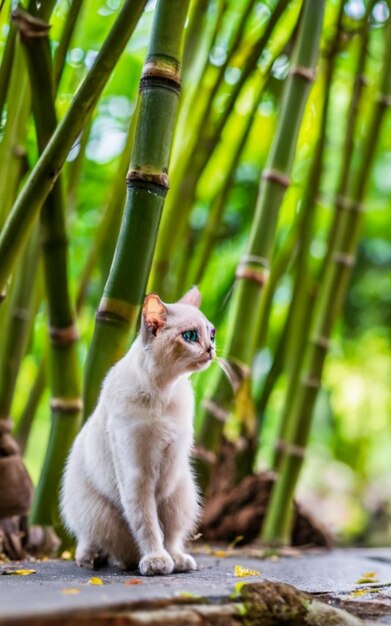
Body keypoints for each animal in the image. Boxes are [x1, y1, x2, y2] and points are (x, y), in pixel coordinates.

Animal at [59, 286, 216, 572]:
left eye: (212, 333)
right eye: (190, 336)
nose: (211, 348)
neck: (164, 393)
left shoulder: (172, 470)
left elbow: (168, 528)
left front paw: (171, 559)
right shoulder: (137, 475)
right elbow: (148, 524)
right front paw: (156, 560)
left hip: (185, 491)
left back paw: (176, 560)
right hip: (95, 513)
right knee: (92, 541)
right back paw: (101, 560)